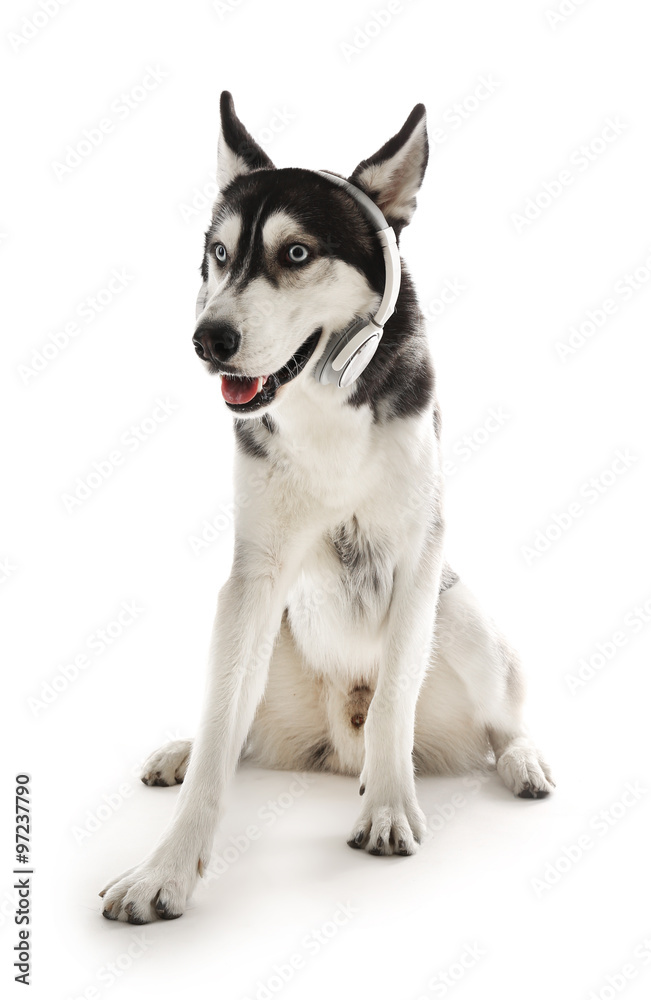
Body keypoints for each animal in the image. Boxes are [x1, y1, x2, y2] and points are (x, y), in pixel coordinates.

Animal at [100, 92, 556, 920]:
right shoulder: (251, 579)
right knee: (237, 729)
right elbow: (220, 726)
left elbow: (395, 702)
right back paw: (184, 750)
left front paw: (388, 808)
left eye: (296, 254)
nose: (208, 339)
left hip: (461, 615)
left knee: (490, 717)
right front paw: (167, 868)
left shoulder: (418, 561)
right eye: (219, 254)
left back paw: (516, 759)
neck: (322, 403)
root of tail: (334, 736)